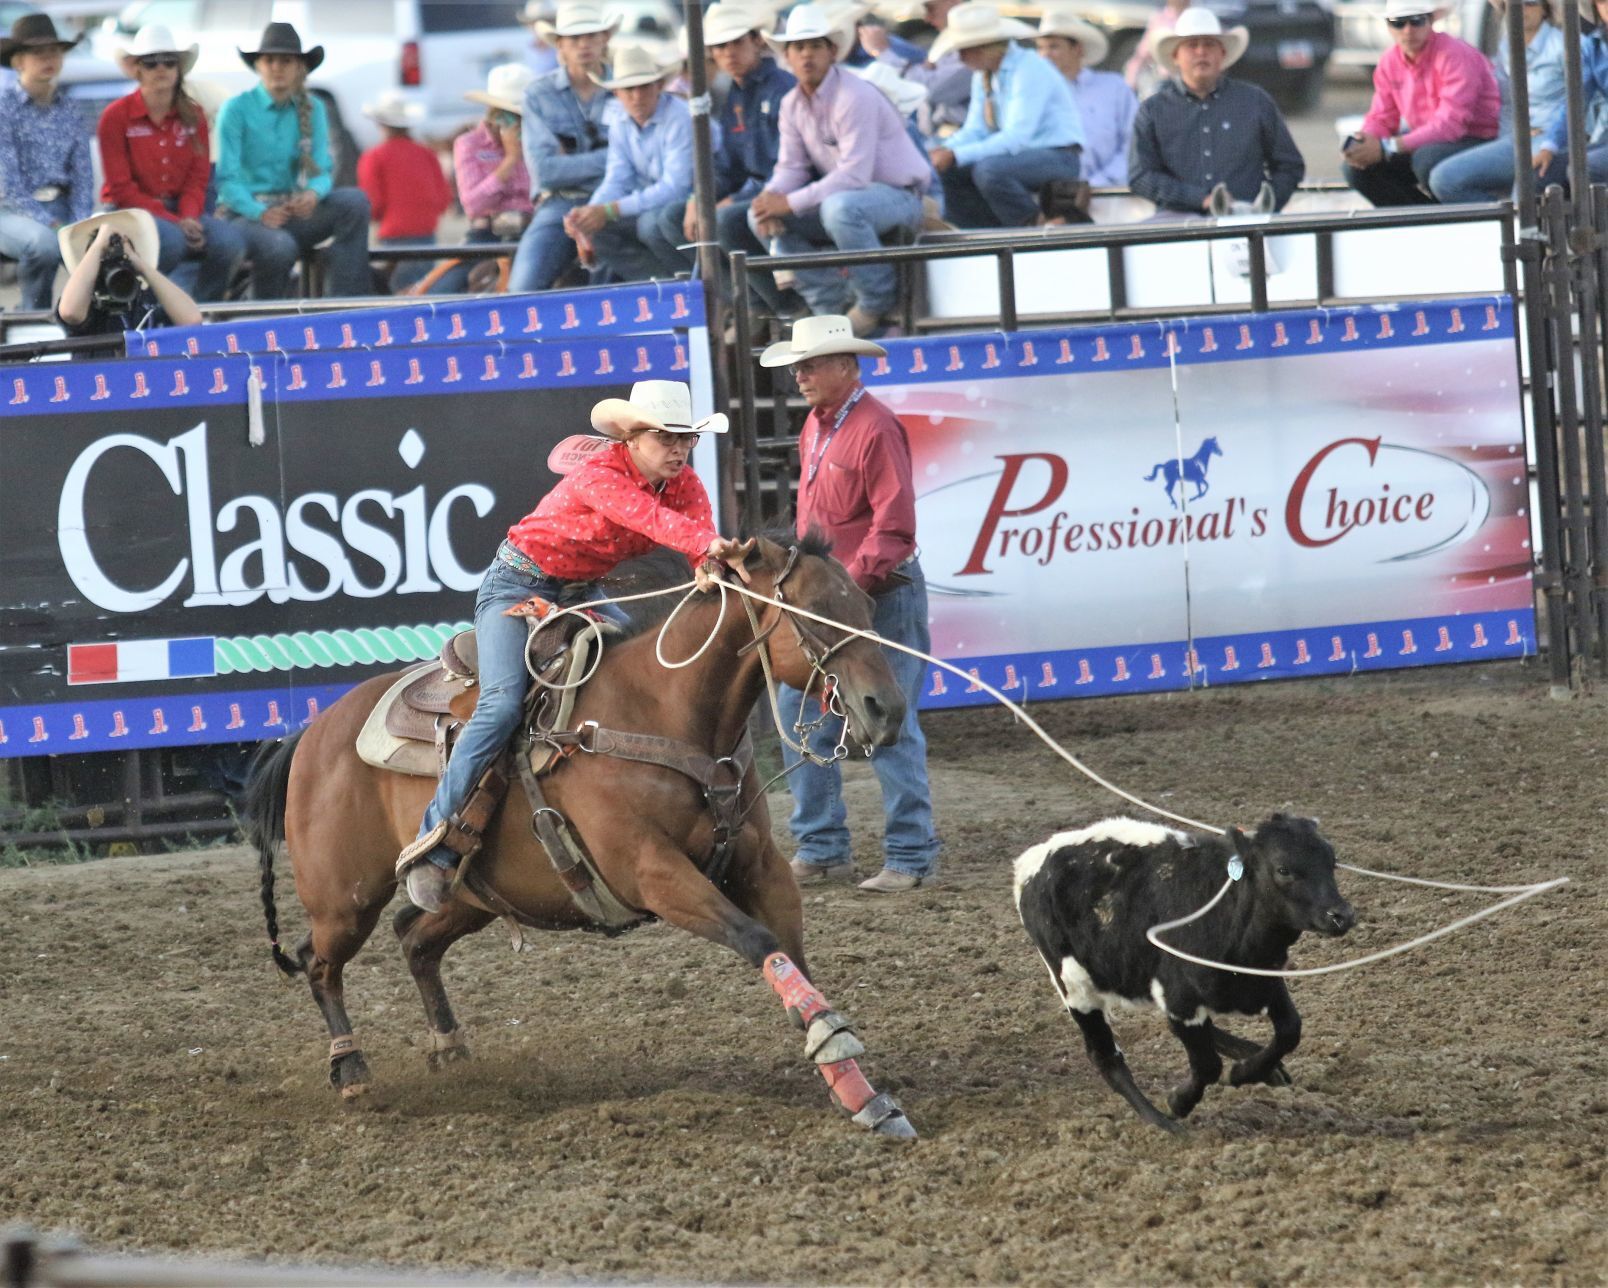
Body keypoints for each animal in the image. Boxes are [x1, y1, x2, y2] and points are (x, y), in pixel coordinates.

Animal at [237, 533, 919, 1138]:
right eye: (813, 612)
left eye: (865, 606)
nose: (886, 710)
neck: (663, 708)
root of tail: (311, 732)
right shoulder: (653, 873)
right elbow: (758, 939)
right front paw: (838, 1053)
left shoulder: (760, 866)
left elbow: (793, 955)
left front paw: (859, 1089)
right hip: (344, 900)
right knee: (318, 959)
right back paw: (351, 1069)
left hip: (478, 895)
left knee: (414, 939)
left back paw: (449, 1049)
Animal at [1016, 813, 1357, 1125]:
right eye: (1283, 869)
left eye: (1332, 861)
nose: (1341, 915)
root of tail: (1030, 863)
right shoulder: (1180, 1002)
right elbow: (1207, 1065)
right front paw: (1179, 1101)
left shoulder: (1267, 982)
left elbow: (1289, 1030)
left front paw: (1246, 1071)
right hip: (1075, 986)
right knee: (1105, 1057)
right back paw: (1162, 1123)